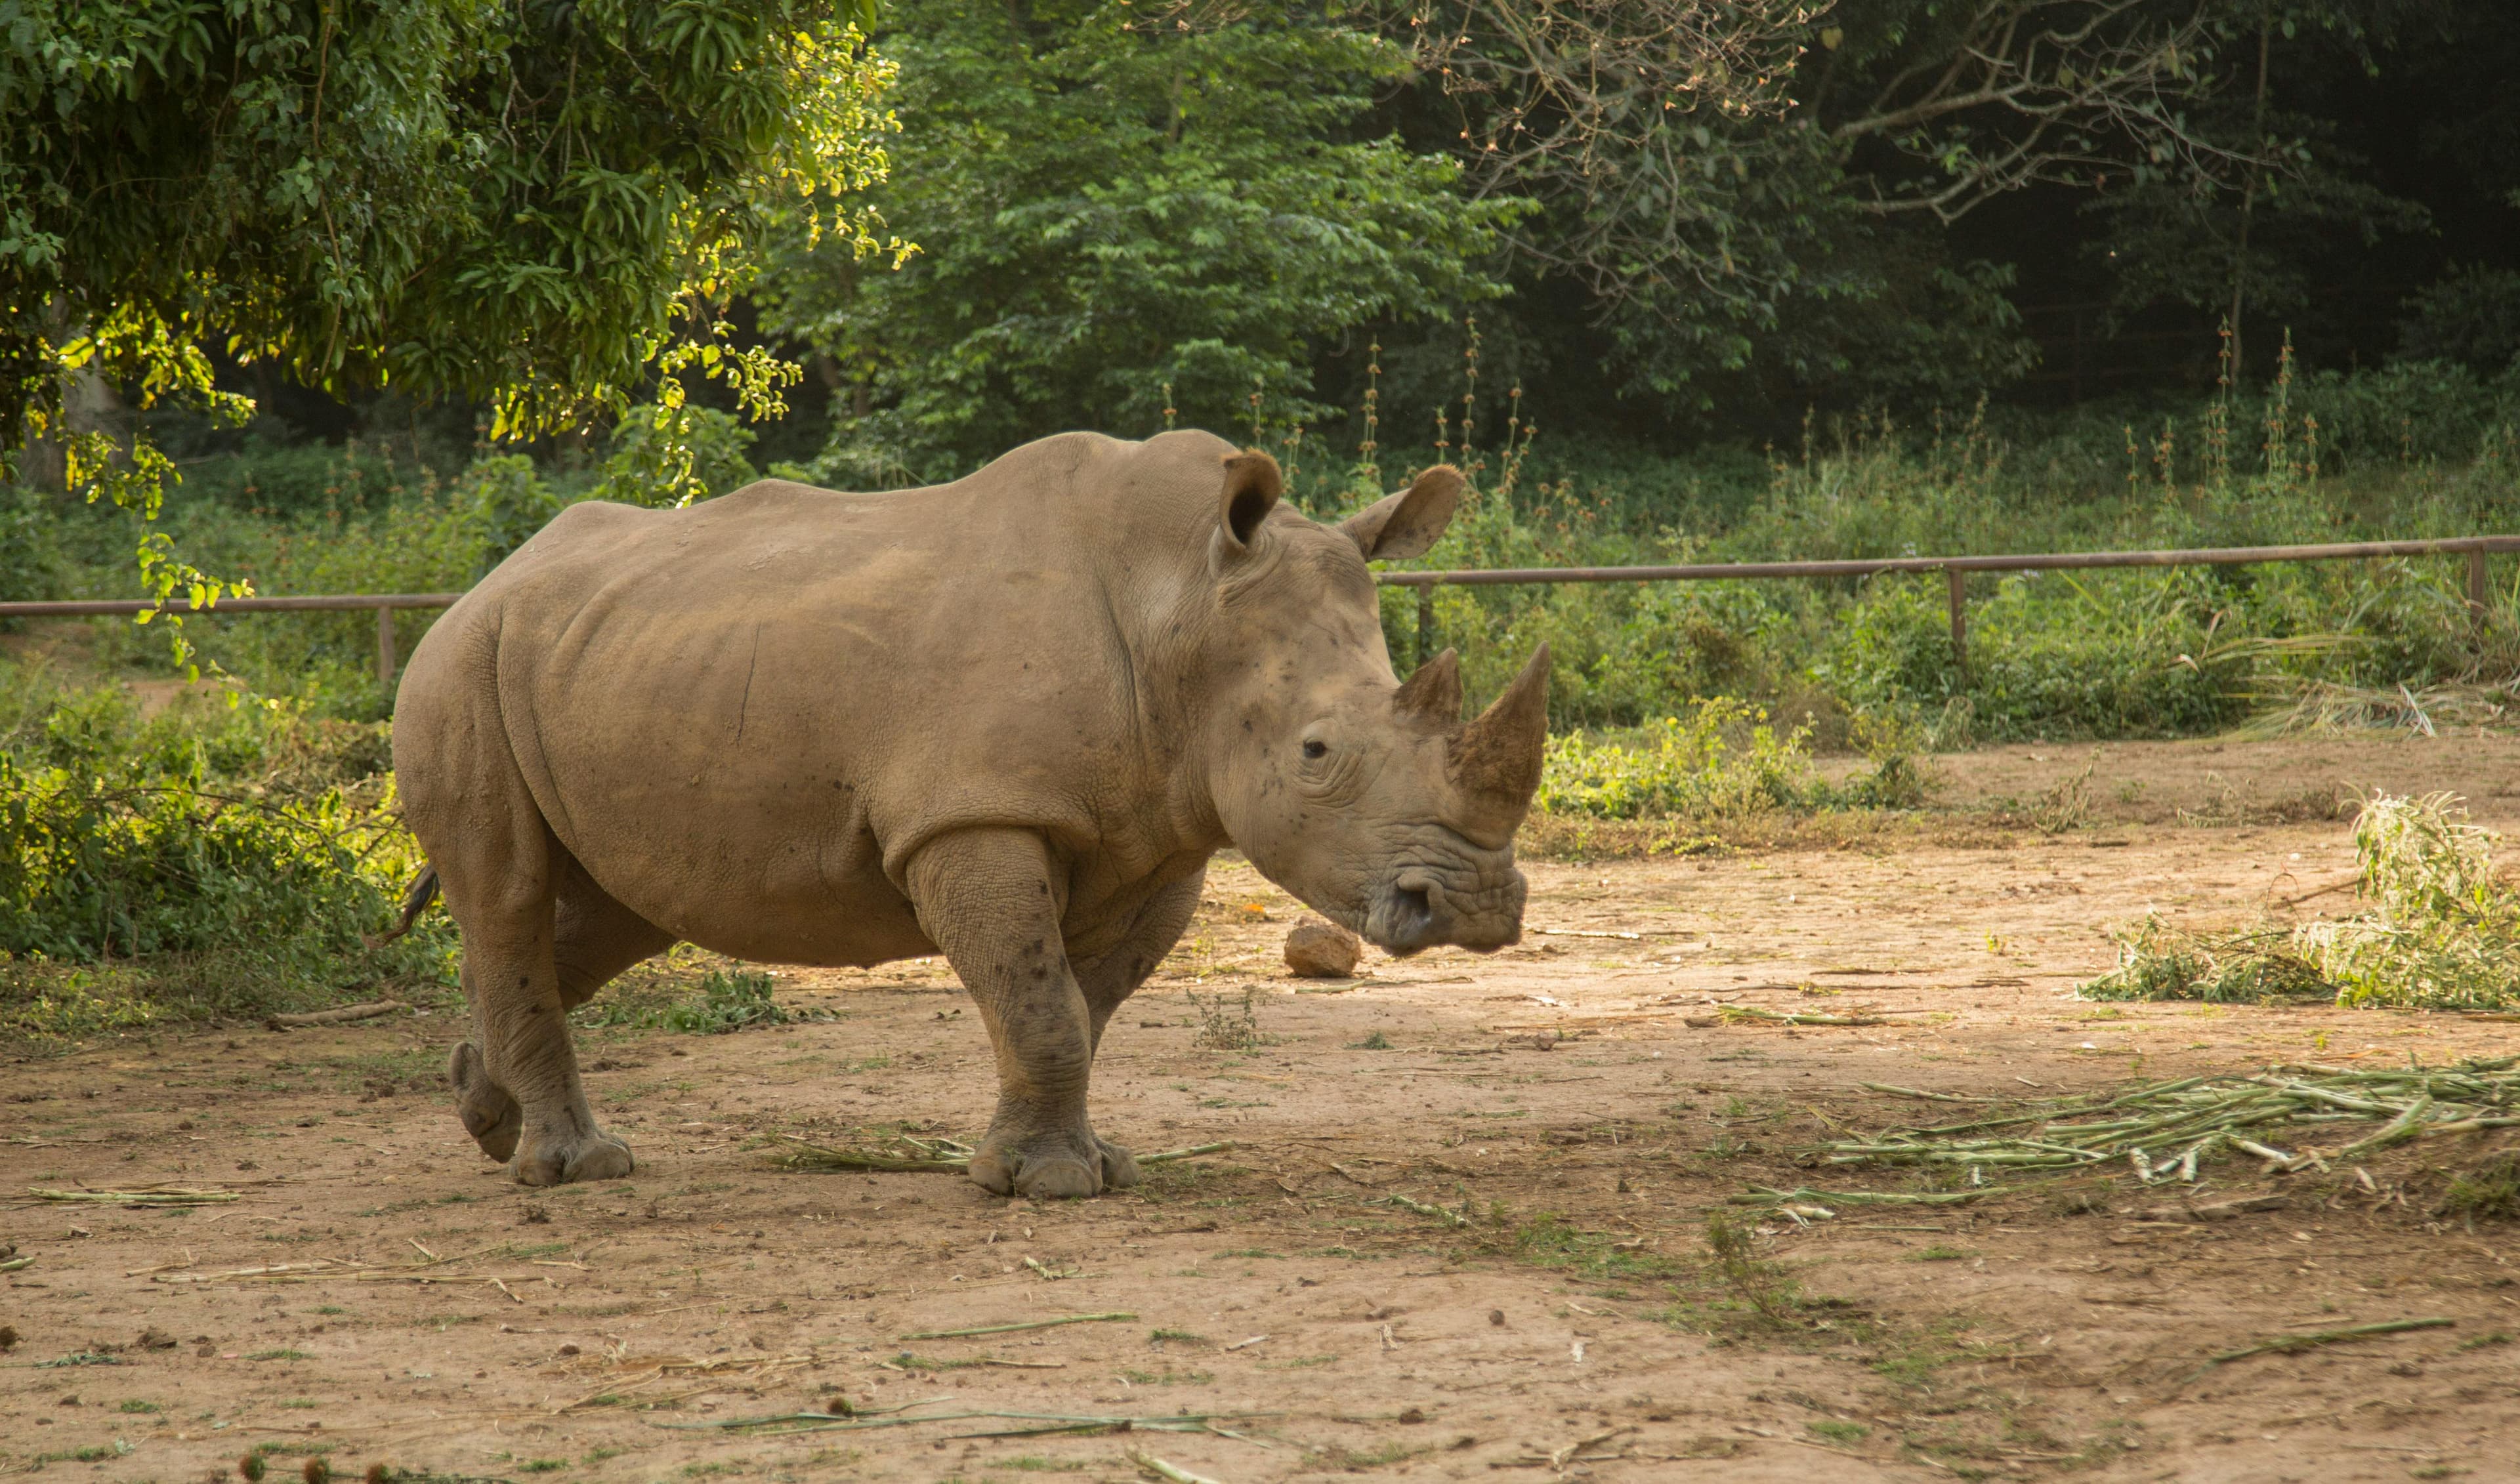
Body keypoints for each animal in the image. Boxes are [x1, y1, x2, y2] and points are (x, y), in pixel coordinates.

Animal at [390, 430, 1551, 1197]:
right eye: (1315, 754)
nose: (1478, 908)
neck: (1181, 602)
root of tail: (490, 576)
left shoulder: (1159, 837)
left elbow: (1083, 1005)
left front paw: (1082, 1163)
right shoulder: (973, 816)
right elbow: (1040, 1001)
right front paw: (1047, 1185)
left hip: (602, 655)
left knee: (614, 912)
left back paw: (482, 1111)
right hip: (459, 667)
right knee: (507, 886)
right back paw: (577, 1170)